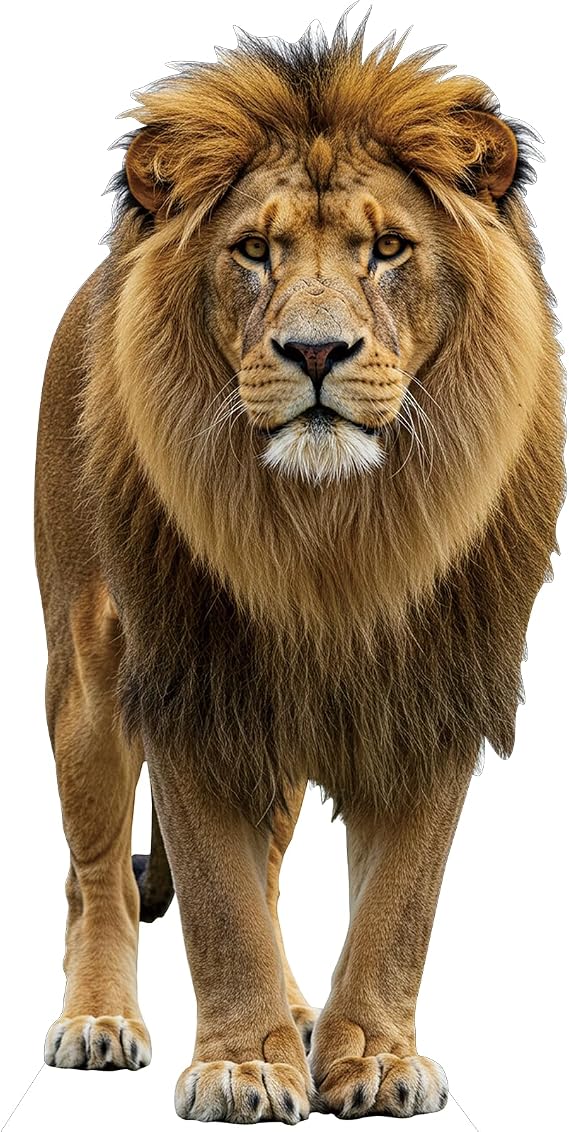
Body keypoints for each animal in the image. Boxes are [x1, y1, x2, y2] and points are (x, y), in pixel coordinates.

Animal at [35, 13, 564, 1124]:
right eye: (252, 250)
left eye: (389, 248)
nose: (315, 351)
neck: (331, 534)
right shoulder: (187, 680)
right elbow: (217, 902)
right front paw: (240, 1065)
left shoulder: (435, 686)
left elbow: (399, 902)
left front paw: (371, 1055)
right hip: (90, 681)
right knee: (98, 873)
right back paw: (100, 1017)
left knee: (268, 871)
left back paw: (296, 1013)